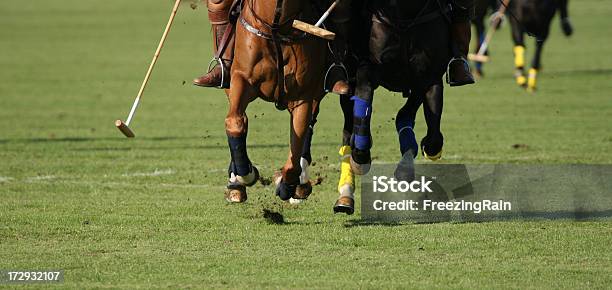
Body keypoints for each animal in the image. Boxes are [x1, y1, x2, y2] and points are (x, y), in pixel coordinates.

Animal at [222, 0, 328, 203]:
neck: (276, 26)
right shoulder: (241, 78)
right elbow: (235, 122)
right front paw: (246, 175)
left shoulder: (303, 94)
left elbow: (298, 138)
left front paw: (287, 185)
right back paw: (236, 184)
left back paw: (300, 185)